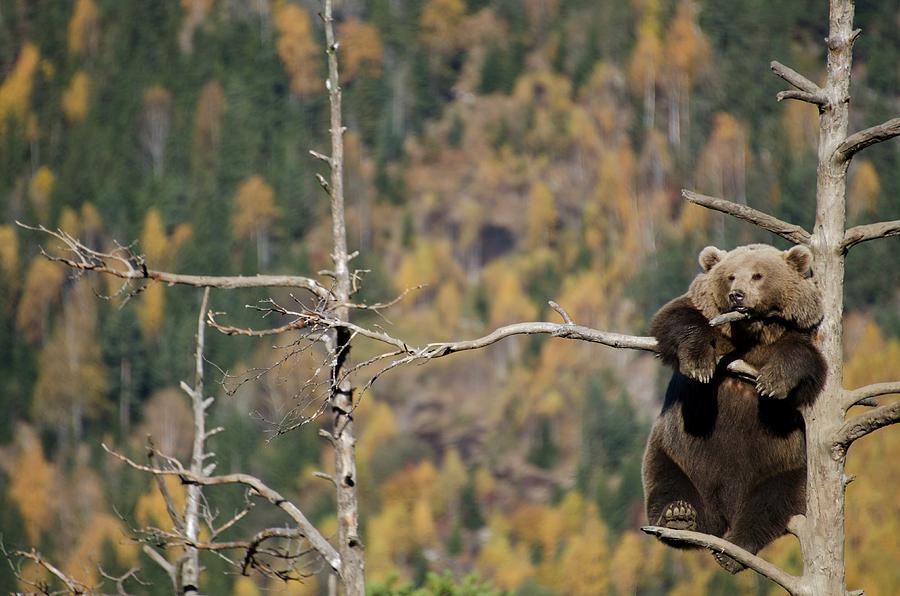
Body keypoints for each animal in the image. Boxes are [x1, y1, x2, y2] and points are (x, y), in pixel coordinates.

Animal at [644, 242, 828, 572]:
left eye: (758, 275)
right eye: (730, 276)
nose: (737, 295)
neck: (752, 331)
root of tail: (724, 510)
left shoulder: (801, 334)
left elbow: (803, 358)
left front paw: (772, 382)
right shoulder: (704, 314)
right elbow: (675, 319)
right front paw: (699, 363)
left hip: (788, 467)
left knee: (770, 504)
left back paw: (734, 550)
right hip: (675, 455)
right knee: (668, 484)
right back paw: (679, 517)